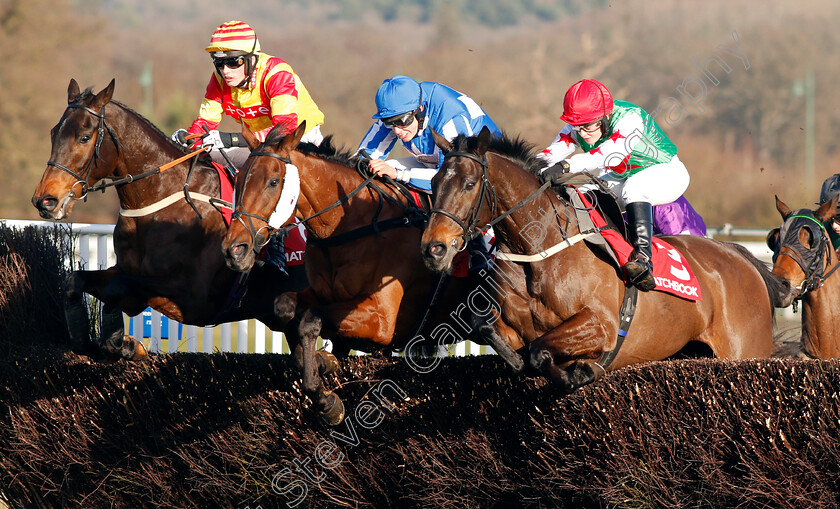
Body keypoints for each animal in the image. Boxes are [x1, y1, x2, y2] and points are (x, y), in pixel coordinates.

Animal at [31, 78, 306, 358]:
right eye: (54, 133)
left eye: (84, 137)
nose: (46, 200)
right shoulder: (126, 271)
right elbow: (75, 280)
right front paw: (99, 342)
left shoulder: (195, 299)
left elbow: (117, 288)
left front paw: (123, 343)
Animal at [220, 122, 516, 420]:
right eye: (239, 179)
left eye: (273, 182)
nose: (235, 249)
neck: (347, 229)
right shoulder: (321, 296)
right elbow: (285, 308)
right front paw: (323, 363)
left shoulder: (383, 322)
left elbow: (310, 321)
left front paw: (326, 399)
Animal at [420, 128, 788, 392]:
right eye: (434, 182)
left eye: (469, 184)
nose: (433, 248)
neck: (539, 252)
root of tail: (738, 255)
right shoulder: (513, 329)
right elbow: (492, 333)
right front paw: (523, 361)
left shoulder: (603, 326)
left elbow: (540, 352)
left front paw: (580, 373)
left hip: (745, 350)